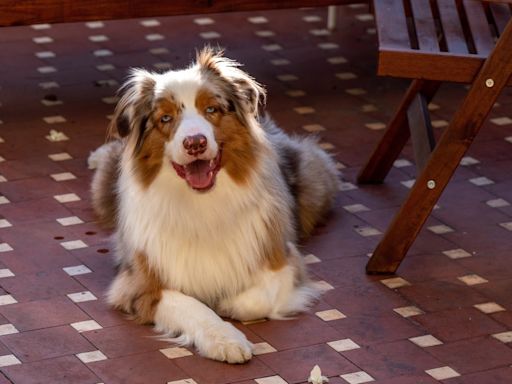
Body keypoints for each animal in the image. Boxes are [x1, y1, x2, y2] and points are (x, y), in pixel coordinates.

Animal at [88, 48, 340, 364]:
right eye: (166, 118)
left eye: (211, 110)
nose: (195, 142)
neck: (202, 204)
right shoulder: (139, 283)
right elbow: (194, 308)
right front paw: (226, 339)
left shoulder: (282, 258)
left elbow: (255, 300)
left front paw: (227, 304)